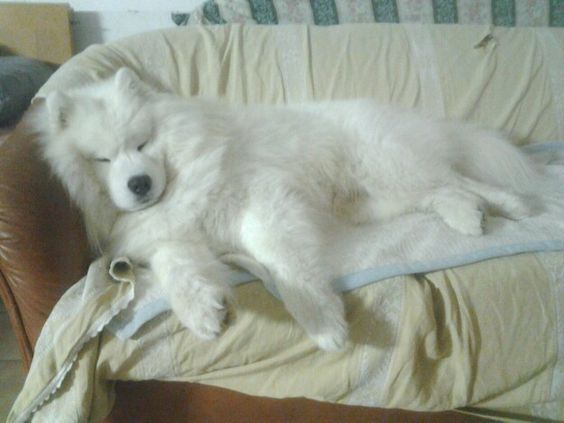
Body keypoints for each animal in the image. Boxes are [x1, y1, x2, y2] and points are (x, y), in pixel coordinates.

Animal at [32, 67, 540, 352]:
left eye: (141, 143)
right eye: (101, 160)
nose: (139, 184)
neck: (182, 178)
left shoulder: (265, 202)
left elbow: (284, 263)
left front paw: (324, 324)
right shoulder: (169, 237)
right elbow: (176, 267)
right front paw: (201, 312)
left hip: (388, 169)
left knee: (459, 180)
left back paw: (512, 204)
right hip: (374, 200)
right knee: (445, 192)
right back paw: (468, 216)